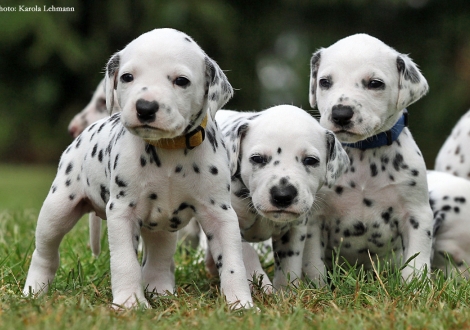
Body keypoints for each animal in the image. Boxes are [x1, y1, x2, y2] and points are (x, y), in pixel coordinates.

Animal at [23, 28, 253, 310]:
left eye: (181, 81)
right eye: (127, 77)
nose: (145, 107)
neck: (169, 150)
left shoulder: (220, 214)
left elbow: (233, 263)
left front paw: (240, 303)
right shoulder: (123, 212)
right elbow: (125, 263)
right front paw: (129, 303)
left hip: (162, 228)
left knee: (158, 260)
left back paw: (162, 292)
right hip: (57, 210)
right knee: (45, 253)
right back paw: (33, 290)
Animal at [209, 104, 348, 290]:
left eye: (310, 160)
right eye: (257, 158)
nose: (283, 195)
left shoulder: (295, 230)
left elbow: (289, 265)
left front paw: (286, 291)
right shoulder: (231, 222)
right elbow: (247, 253)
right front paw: (260, 283)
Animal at [304, 32, 434, 282]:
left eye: (375, 83)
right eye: (325, 82)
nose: (341, 114)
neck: (364, 152)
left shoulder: (417, 214)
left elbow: (417, 261)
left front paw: (416, 286)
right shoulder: (315, 219)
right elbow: (314, 265)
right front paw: (317, 286)